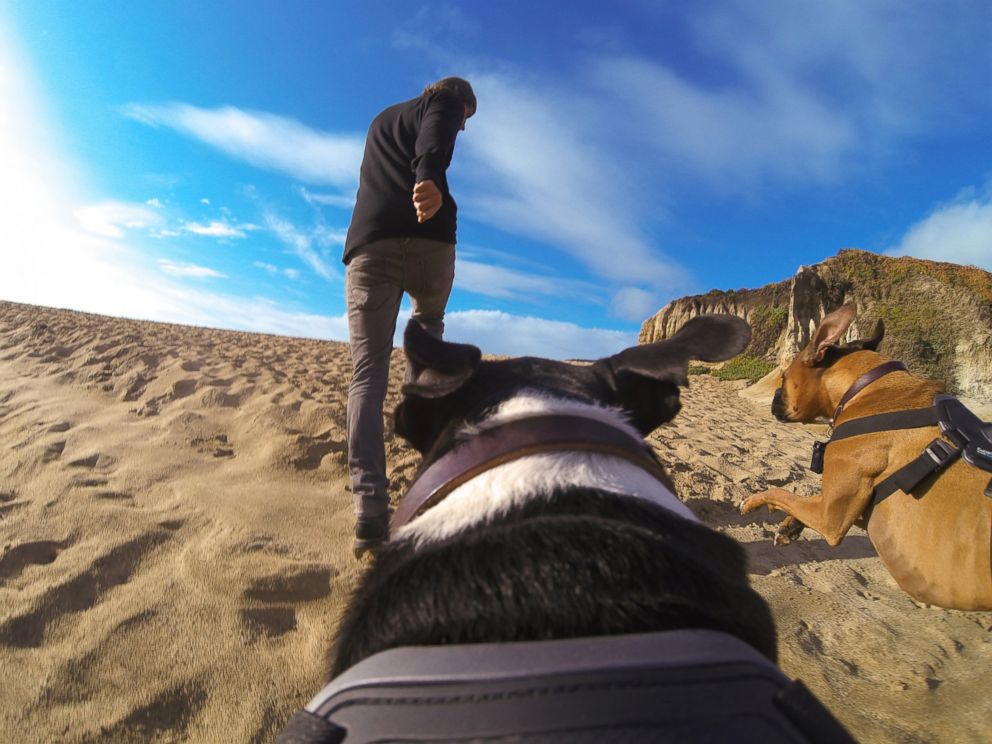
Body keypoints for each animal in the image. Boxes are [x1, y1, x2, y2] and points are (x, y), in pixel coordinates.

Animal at [744, 302, 992, 612]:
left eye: (785, 377)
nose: (775, 398)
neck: (864, 389)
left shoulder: (831, 518)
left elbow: (781, 493)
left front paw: (754, 501)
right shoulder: (847, 509)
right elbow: (802, 500)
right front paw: (790, 526)